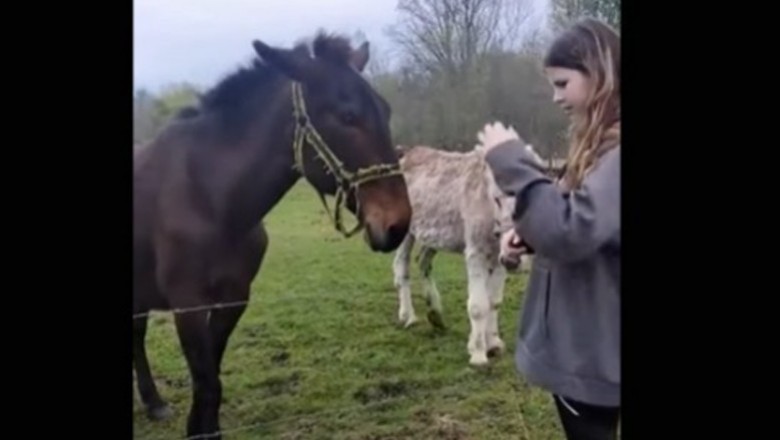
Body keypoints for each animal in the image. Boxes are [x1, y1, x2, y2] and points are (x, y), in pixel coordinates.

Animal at [134, 32, 414, 438]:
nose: (397, 224)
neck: (209, 196)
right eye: (347, 116)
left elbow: (211, 380)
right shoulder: (188, 305)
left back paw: (153, 402)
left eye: (387, 110)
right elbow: (206, 382)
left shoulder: (234, 298)